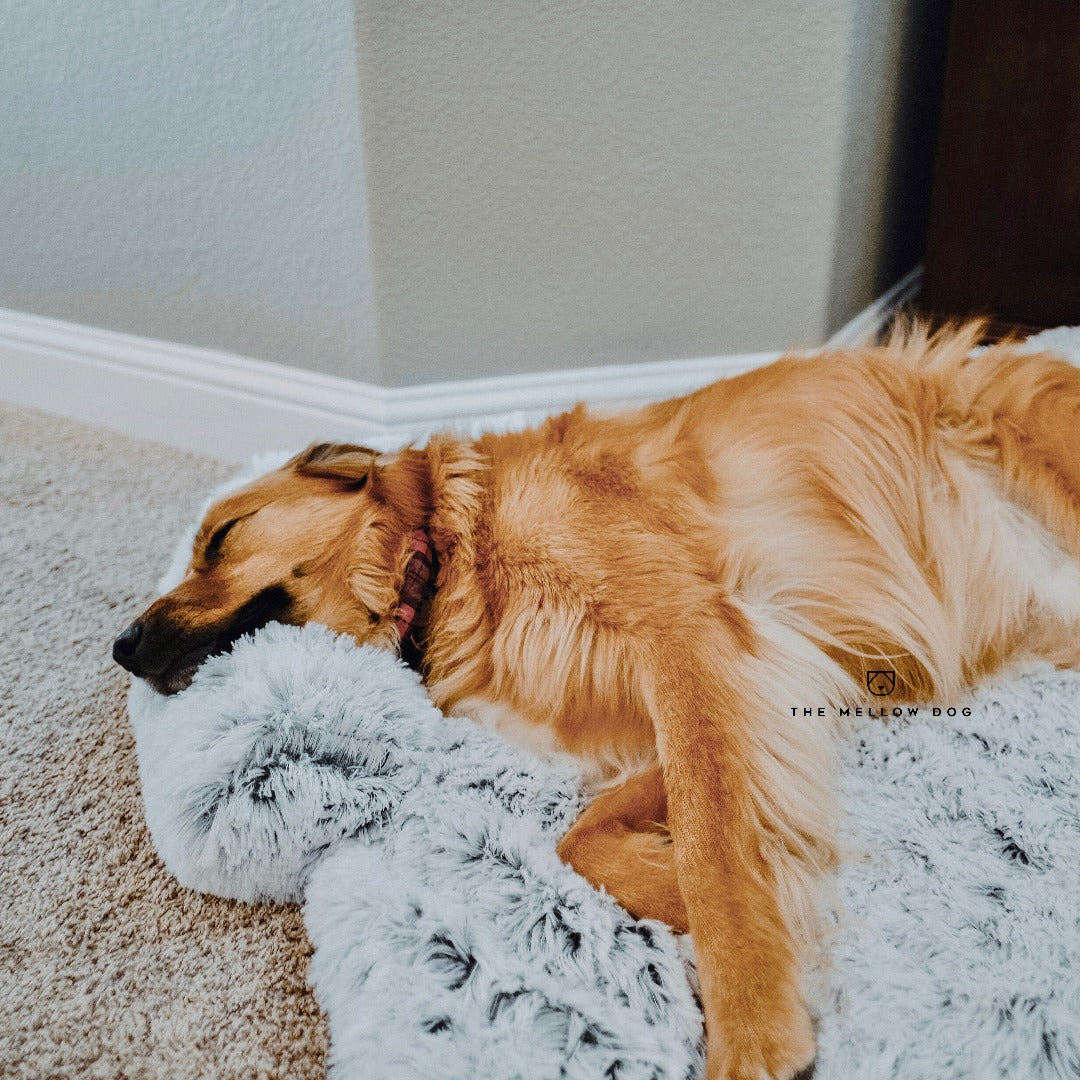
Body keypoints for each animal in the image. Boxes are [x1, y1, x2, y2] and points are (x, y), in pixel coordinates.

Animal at [113, 321, 1080, 1080]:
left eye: (220, 539)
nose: (120, 647)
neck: (451, 555)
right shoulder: (742, 691)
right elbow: (596, 838)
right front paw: (766, 900)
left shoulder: (688, 639)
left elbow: (715, 846)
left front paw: (751, 1020)